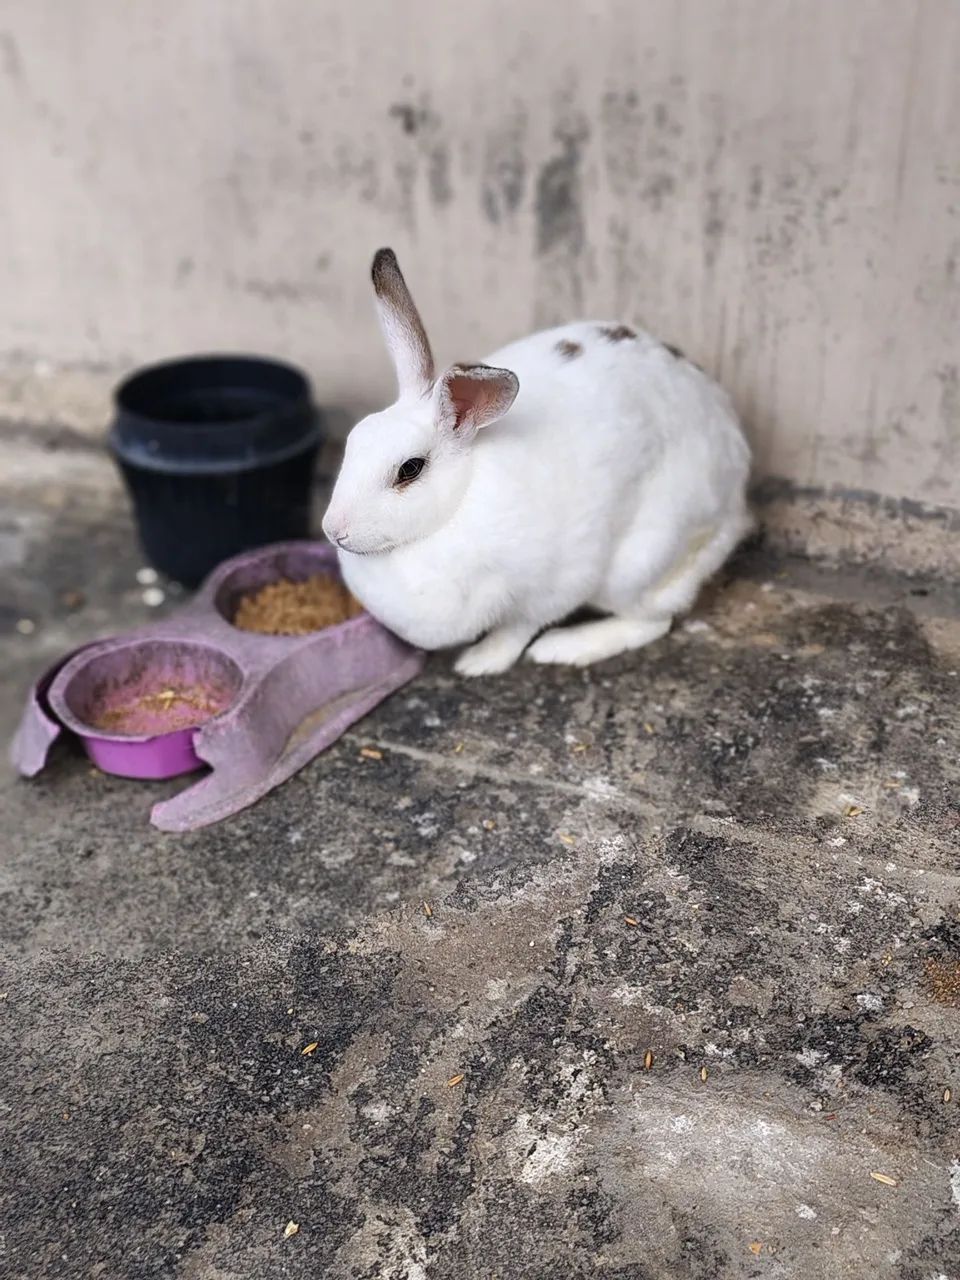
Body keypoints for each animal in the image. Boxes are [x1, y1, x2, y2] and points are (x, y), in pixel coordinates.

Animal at [322, 248, 752, 676]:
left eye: (409, 469)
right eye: (353, 443)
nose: (333, 531)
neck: (454, 509)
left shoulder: (554, 585)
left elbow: (518, 627)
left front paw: (481, 661)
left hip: (640, 562)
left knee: (653, 621)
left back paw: (564, 647)